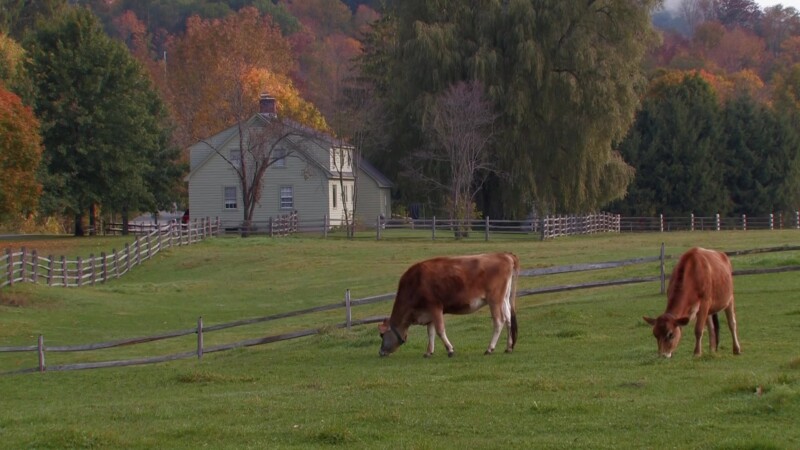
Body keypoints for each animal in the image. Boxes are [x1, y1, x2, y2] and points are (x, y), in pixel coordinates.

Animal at [378, 252, 519, 358]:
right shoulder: (428, 312)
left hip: (494, 300)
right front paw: (429, 352)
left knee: (499, 321)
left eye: (381, 335)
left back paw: (490, 348)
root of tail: (504, 255)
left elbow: (440, 330)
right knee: (508, 320)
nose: (380, 352)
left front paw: (450, 350)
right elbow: (430, 332)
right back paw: (508, 347)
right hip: (504, 299)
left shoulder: (435, 307)